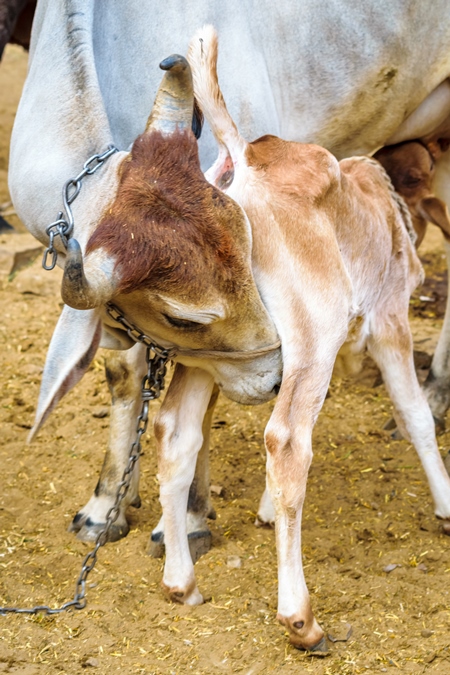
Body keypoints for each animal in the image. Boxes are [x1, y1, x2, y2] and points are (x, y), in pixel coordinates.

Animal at [7, 0, 450, 552]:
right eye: (182, 318)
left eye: (247, 246)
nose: (277, 377)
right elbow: (125, 377)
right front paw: (107, 505)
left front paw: (190, 516)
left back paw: (436, 392)